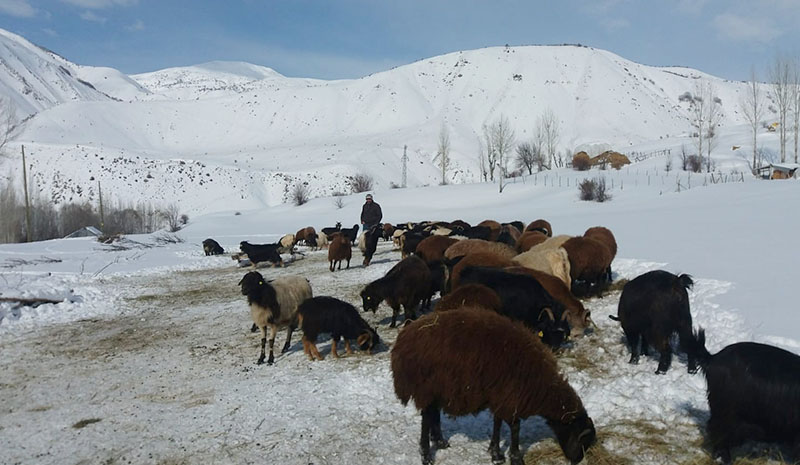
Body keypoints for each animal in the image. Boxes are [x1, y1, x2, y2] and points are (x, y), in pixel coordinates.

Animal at [390, 306, 596, 464]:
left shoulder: (501, 394)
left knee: (433, 413)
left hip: (437, 388)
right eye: (583, 439)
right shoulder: (511, 395)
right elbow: (515, 427)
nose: (577, 461)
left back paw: (440, 441)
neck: (541, 385)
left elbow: (497, 422)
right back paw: (426, 454)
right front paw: (514, 457)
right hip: (425, 386)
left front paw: (495, 452)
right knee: (426, 419)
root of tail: (403, 339)